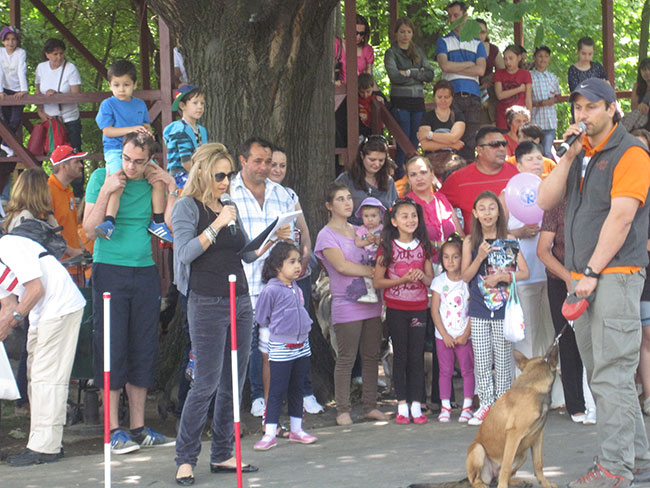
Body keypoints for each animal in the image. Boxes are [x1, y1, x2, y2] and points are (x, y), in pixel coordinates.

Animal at [466, 344, 559, 488]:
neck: (533, 387)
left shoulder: (538, 436)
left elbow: (538, 464)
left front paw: (545, 483)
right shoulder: (514, 435)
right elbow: (506, 466)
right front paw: (502, 486)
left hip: (522, 454)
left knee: (503, 476)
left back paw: (519, 481)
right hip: (478, 449)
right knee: (476, 479)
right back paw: (483, 484)